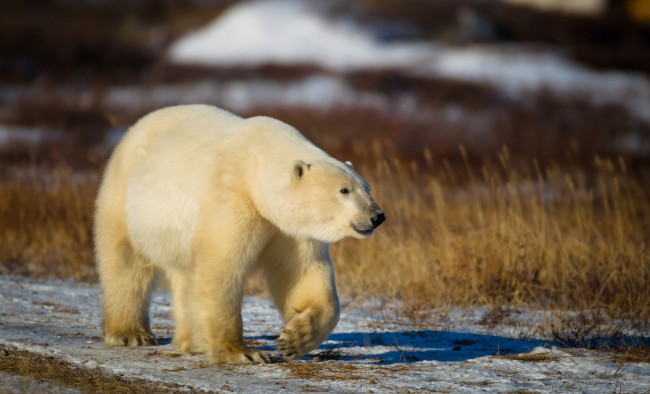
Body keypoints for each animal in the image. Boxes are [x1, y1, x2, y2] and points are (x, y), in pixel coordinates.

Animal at [93, 104, 382, 364]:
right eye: (344, 190)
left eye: (367, 187)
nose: (377, 216)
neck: (257, 164)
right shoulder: (232, 196)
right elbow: (221, 268)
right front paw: (242, 352)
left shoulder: (289, 228)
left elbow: (302, 272)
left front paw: (294, 338)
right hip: (125, 197)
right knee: (125, 262)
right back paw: (131, 333)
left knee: (185, 276)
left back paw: (192, 341)